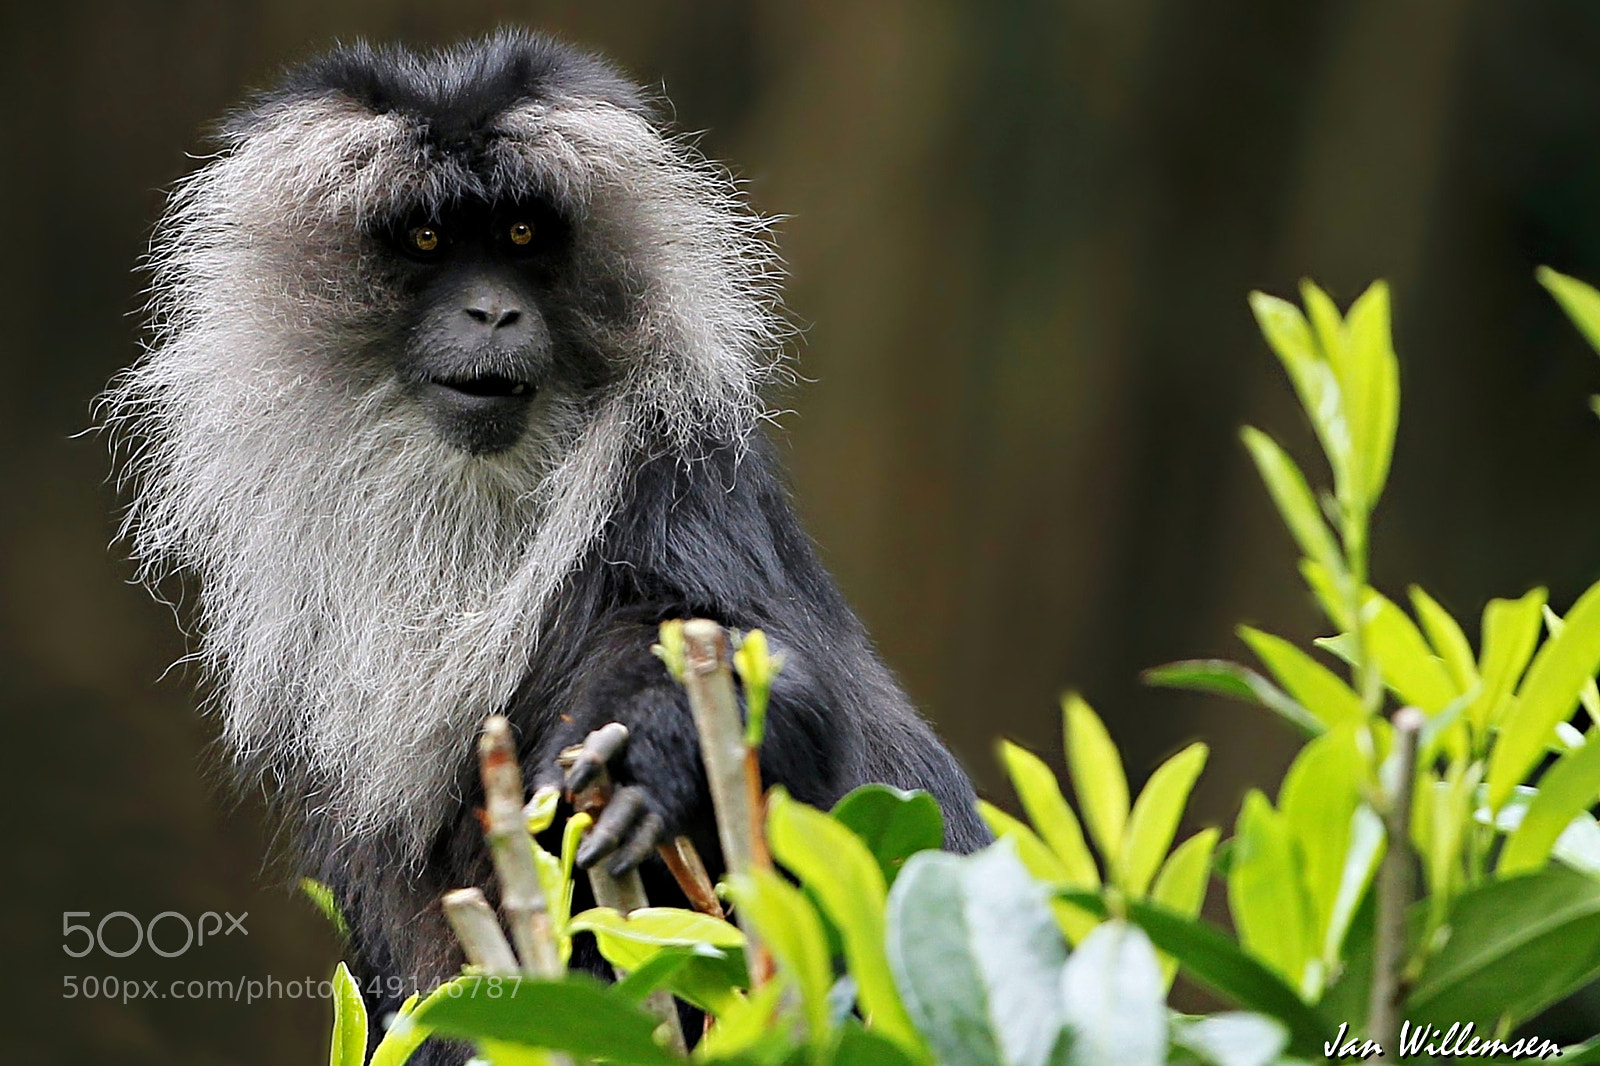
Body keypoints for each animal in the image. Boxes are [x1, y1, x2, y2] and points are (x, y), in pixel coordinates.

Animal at [102, 30, 989, 1061]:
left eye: (523, 237)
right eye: (428, 241)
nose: (492, 312)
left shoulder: (676, 492)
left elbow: (758, 662)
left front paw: (654, 747)